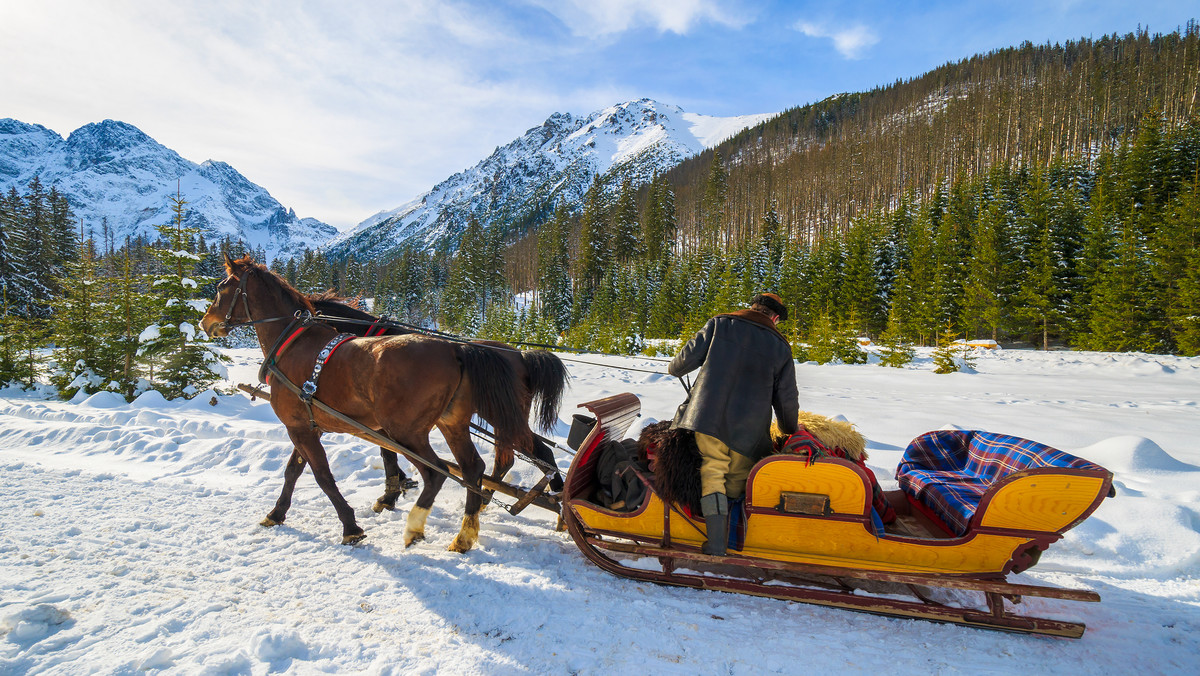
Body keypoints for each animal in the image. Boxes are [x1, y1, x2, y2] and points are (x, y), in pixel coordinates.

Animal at [201, 256, 530, 552]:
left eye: (221, 287)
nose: (206, 323)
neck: (292, 345)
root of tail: (455, 350)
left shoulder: (298, 427)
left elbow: (322, 476)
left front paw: (351, 526)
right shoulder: (309, 425)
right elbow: (293, 471)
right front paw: (276, 513)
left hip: (407, 432)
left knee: (436, 473)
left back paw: (414, 527)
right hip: (451, 424)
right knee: (473, 469)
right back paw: (464, 536)